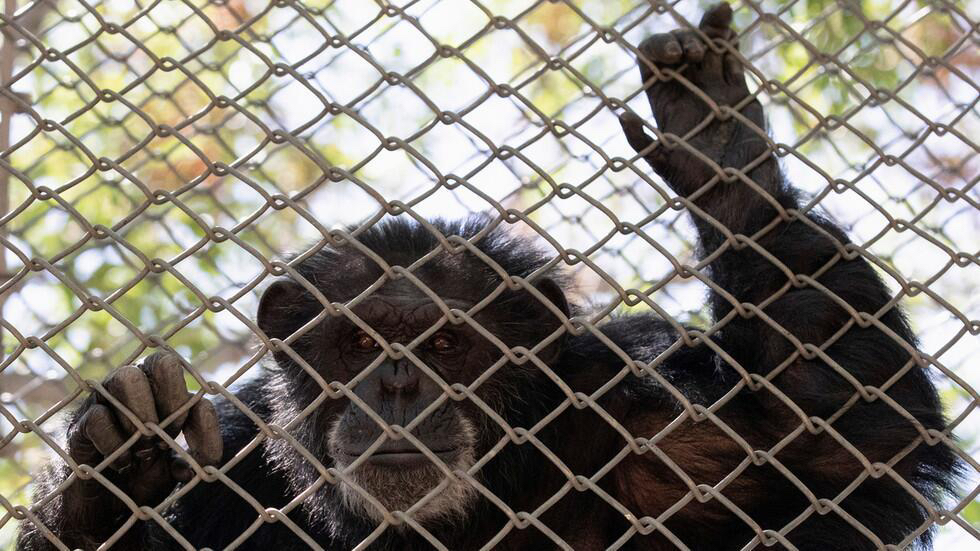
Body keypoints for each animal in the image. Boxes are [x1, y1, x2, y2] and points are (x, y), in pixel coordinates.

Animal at [19, 5, 960, 551]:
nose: (398, 385)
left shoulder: (659, 430)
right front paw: (118, 468)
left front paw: (725, 157)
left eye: (444, 343)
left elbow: (839, 454)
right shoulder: (241, 458)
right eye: (358, 341)